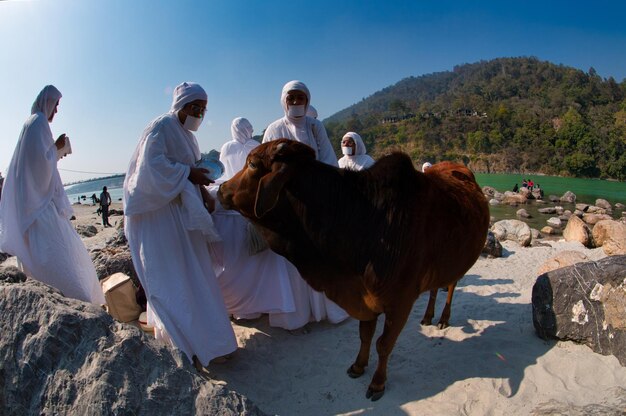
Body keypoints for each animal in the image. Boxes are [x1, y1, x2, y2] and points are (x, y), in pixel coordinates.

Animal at [217, 139, 490, 400]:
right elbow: (365, 335)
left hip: (457, 262)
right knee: (435, 288)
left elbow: (384, 344)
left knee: (451, 286)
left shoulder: (399, 302)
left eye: (252, 164)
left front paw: (378, 383)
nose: (221, 189)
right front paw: (358, 366)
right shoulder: (364, 298)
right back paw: (428, 316)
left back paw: (443, 318)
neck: (363, 219)